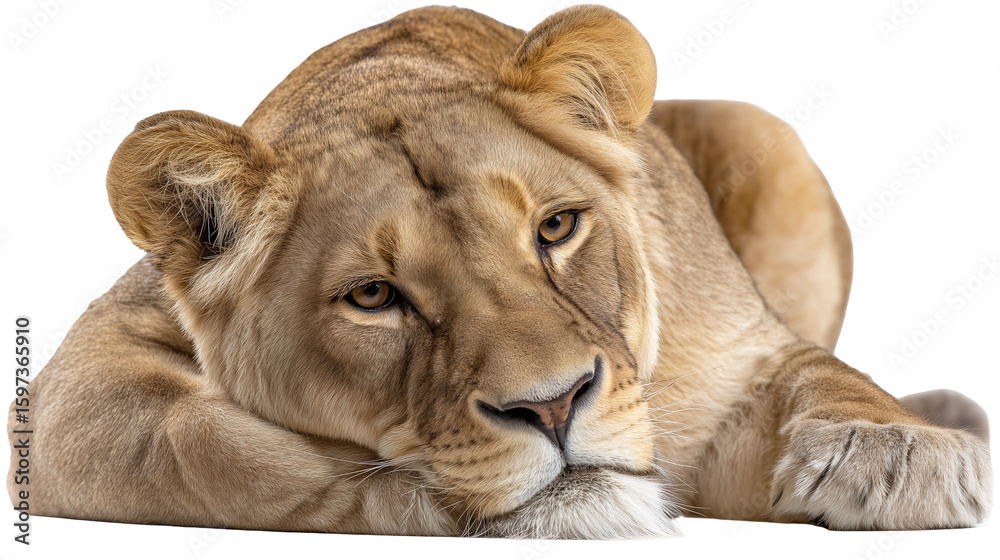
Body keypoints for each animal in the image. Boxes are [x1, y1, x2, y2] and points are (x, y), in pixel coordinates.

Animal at [7, 5, 991, 538]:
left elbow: (816, 372)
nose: (551, 407)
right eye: (374, 297)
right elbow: (204, 444)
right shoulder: (78, 378)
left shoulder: (735, 360)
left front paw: (898, 454)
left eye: (556, 228)